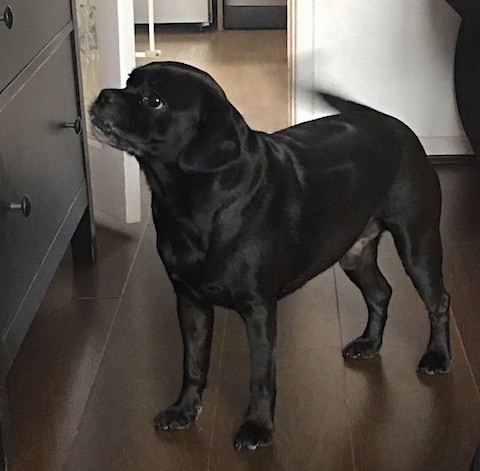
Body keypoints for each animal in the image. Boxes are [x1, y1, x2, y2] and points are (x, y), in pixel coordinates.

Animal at [89, 60, 450, 452]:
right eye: (129, 82)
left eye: (154, 100)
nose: (103, 94)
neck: (193, 202)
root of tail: (393, 122)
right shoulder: (190, 301)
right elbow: (193, 363)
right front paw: (184, 410)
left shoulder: (259, 309)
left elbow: (261, 374)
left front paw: (258, 428)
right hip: (354, 253)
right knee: (381, 292)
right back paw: (369, 343)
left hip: (417, 243)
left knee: (438, 300)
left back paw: (438, 356)